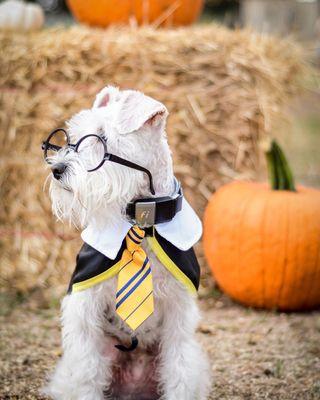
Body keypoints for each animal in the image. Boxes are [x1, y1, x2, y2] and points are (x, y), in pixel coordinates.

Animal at [42, 86, 211, 400]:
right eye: (71, 138)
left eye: (102, 137)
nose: (57, 169)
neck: (141, 225)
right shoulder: (85, 308)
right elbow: (86, 373)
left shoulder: (178, 315)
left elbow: (180, 371)